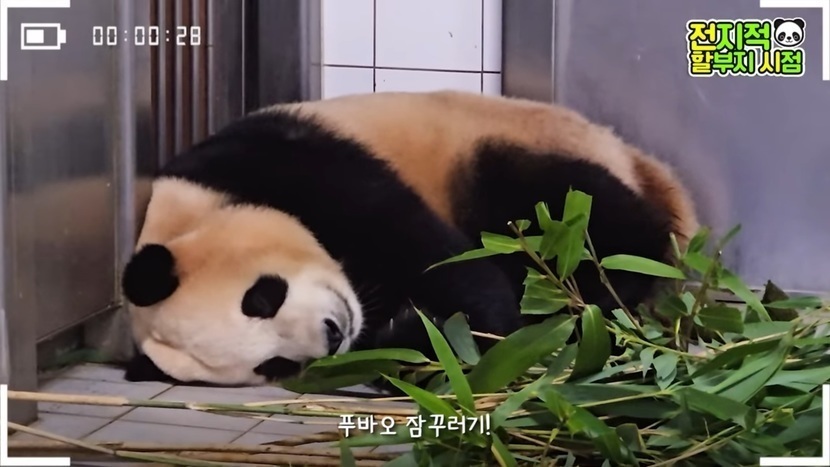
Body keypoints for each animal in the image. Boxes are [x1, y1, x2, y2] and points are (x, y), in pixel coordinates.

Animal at [120, 90, 699, 388]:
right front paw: (407, 337)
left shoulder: (283, 163)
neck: (191, 209)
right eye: (274, 366)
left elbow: (437, 258)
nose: (333, 333)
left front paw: (467, 333)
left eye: (260, 298)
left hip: (512, 155)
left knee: (583, 222)